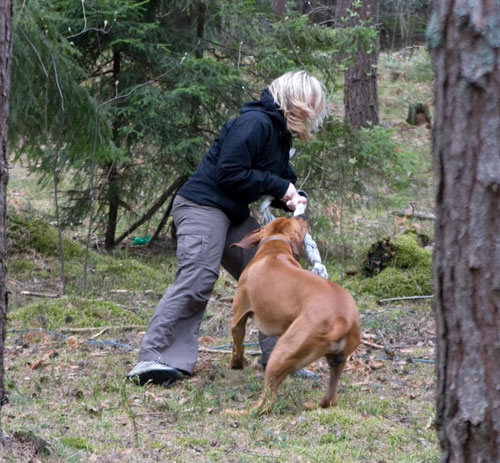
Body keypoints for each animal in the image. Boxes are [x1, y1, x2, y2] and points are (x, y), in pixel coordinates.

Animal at [229, 216, 362, 416]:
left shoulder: (239, 315)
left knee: (266, 405)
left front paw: (236, 363)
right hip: (337, 361)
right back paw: (311, 405)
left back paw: (238, 412)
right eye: (294, 219)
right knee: (330, 400)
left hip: (281, 352)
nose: (303, 215)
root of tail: (342, 319)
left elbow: (237, 344)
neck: (274, 246)